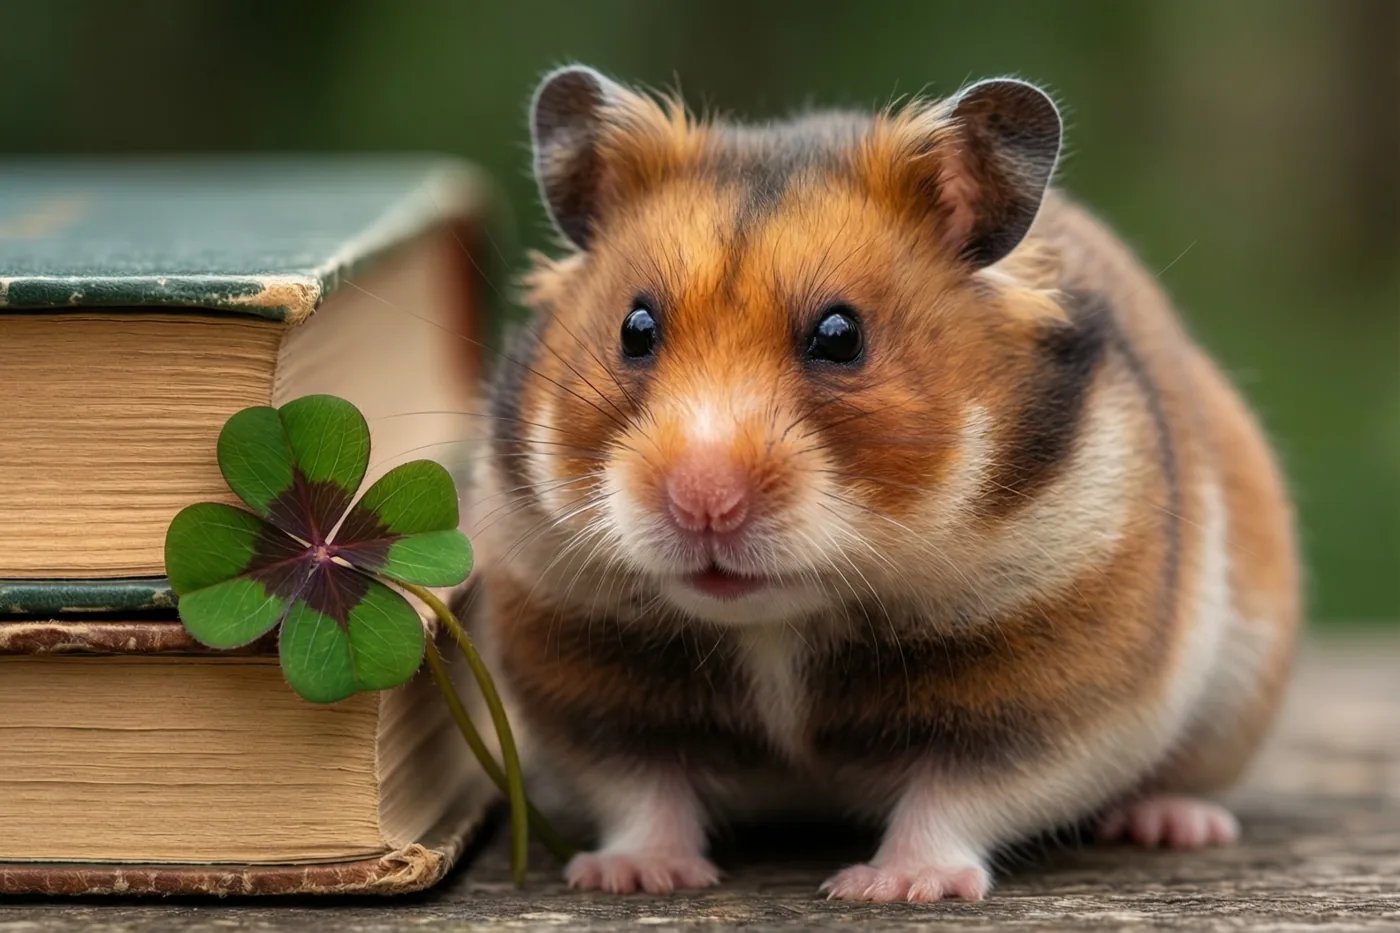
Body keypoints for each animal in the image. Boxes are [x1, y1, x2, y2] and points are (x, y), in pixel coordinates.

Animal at [463, 65, 1301, 902]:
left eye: (841, 336)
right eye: (634, 329)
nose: (703, 503)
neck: (776, 621)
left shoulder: (1049, 696)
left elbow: (955, 795)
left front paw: (891, 886)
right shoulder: (589, 687)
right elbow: (643, 789)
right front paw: (632, 877)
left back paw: (1172, 823)